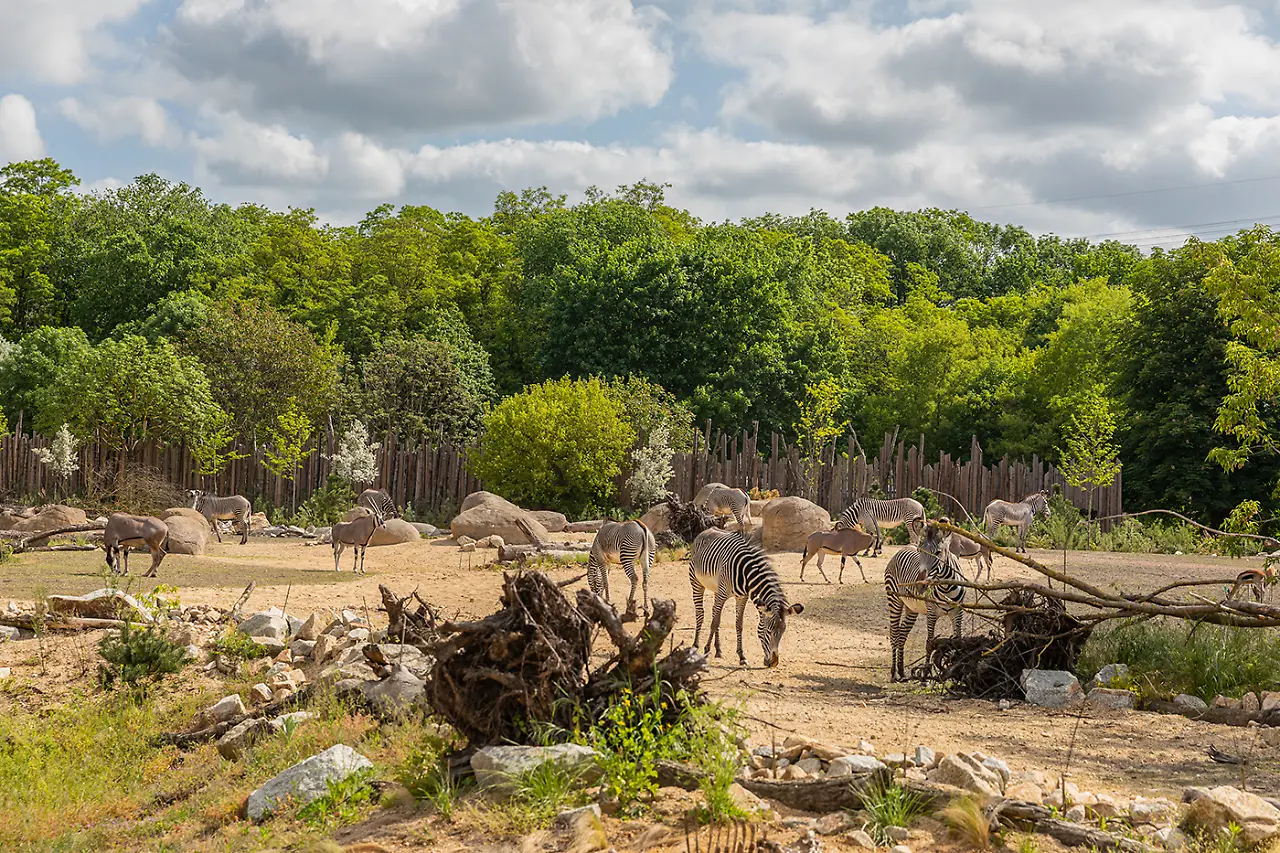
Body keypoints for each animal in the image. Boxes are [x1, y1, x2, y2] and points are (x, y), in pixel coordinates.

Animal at [689, 527, 803, 668]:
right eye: (769, 631)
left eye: (783, 632)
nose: (774, 663)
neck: (745, 573)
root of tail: (706, 530)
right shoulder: (723, 594)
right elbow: (715, 623)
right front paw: (706, 650)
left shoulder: (742, 597)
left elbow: (738, 624)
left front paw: (741, 656)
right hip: (697, 583)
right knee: (701, 613)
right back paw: (696, 645)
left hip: (716, 589)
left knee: (715, 612)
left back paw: (718, 650)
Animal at [884, 522, 965, 682]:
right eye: (921, 551)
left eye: (938, 552)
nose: (919, 585)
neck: (946, 588)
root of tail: (903, 547)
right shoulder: (932, 613)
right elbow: (929, 643)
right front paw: (926, 674)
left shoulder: (958, 613)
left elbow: (957, 641)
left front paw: (956, 673)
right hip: (894, 600)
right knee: (894, 633)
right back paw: (894, 672)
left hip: (912, 608)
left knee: (902, 634)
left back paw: (901, 671)